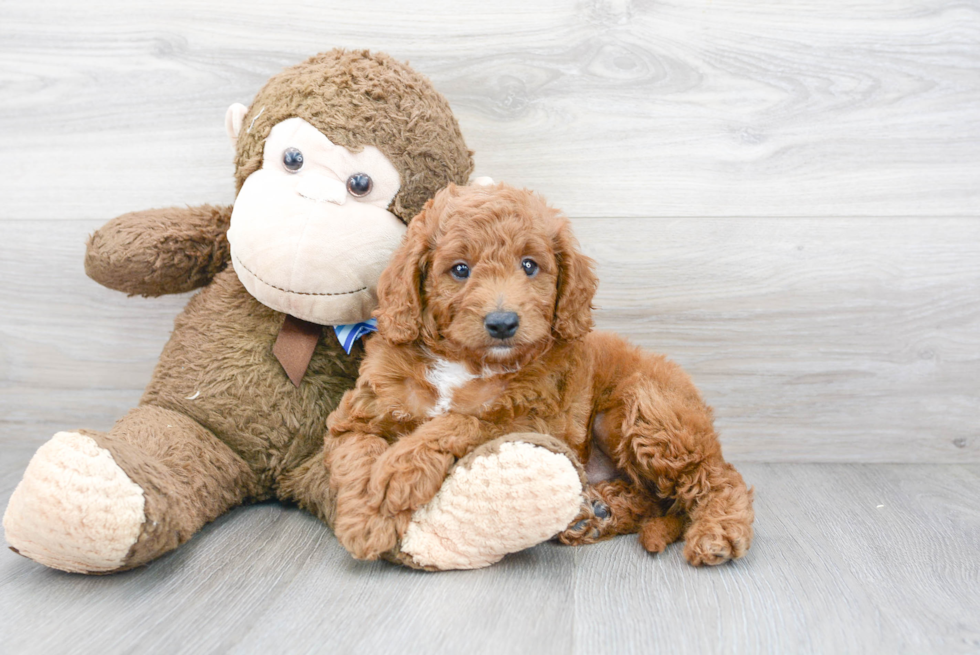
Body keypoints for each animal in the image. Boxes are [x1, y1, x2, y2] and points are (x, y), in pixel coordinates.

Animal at [326, 182, 756, 568]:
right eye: (460, 270)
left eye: (529, 265)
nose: (502, 323)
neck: (466, 361)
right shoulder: (359, 415)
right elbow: (358, 453)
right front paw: (368, 518)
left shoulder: (532, 419)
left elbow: (464, 421)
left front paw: (399, 473)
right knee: (655, 498)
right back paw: (596, 516)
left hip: (648, 409)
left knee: (718, 477)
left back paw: (717, 532)